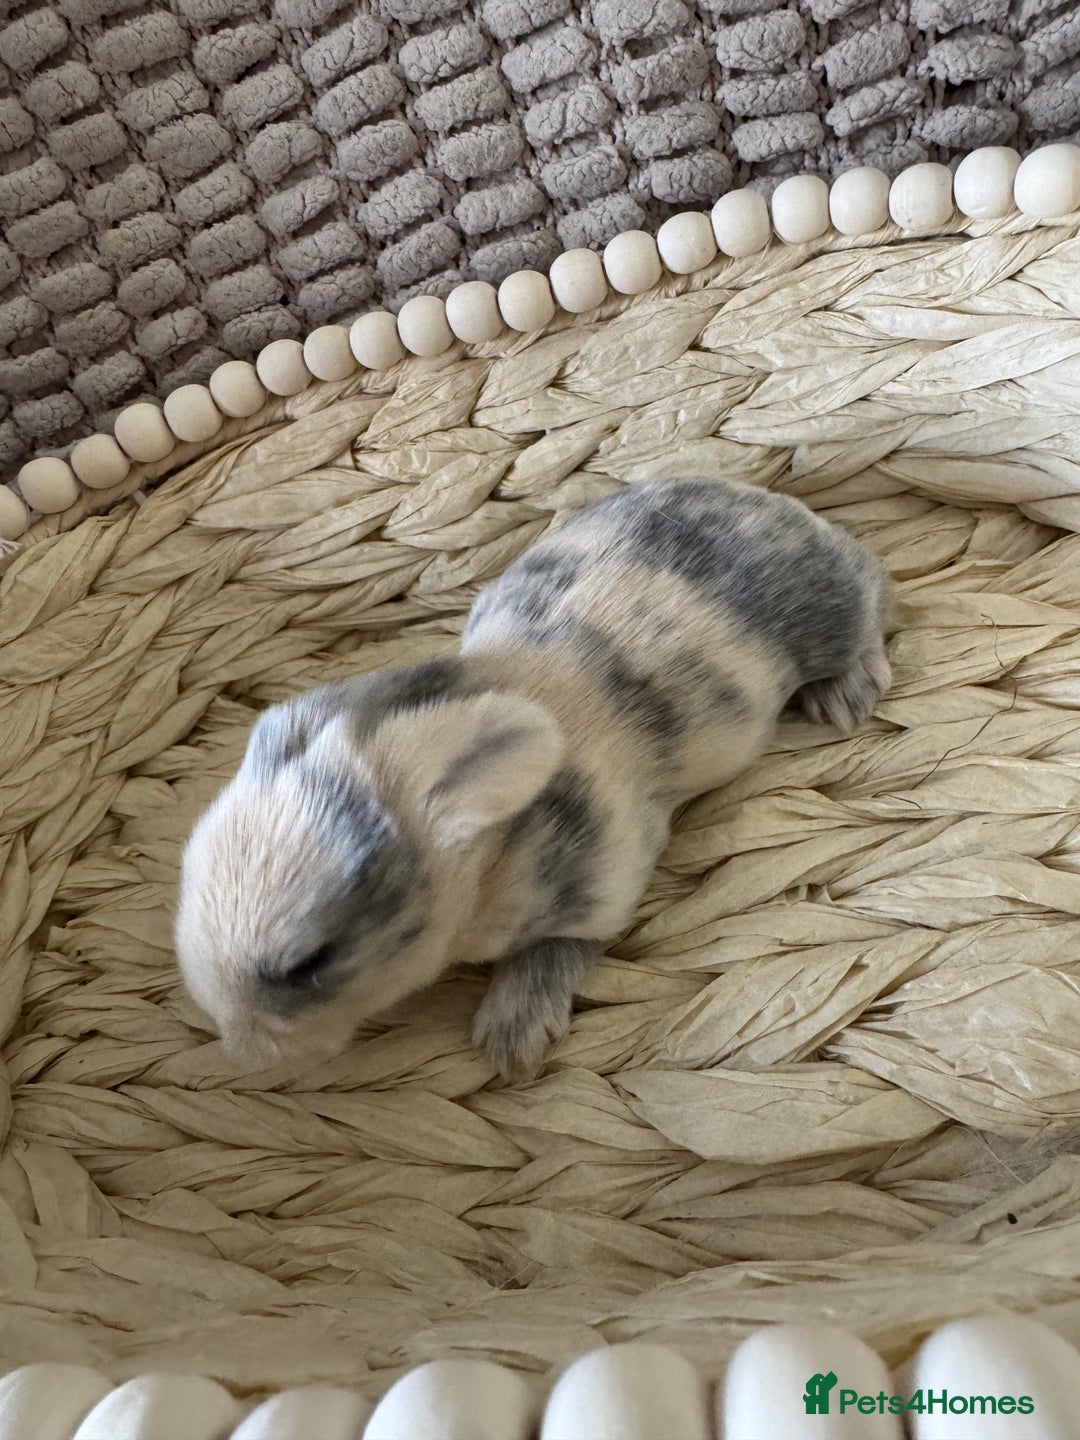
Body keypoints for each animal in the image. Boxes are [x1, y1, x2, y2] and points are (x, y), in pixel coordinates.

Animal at [174, 476, 892, 1079]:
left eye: (310, 962)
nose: (240, 1049)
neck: (493, 857)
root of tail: (775, 505)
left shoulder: (601, 888)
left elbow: (558, 949)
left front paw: (510, 1038)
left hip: (829, 612)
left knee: (874, 583)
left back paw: (848, 691)